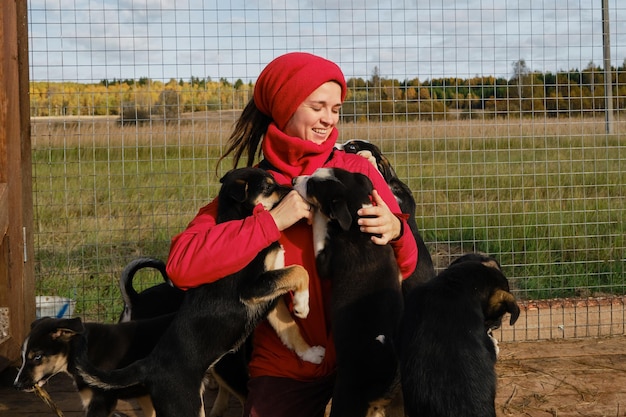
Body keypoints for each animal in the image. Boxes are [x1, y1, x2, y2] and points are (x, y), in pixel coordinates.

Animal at [15, 316, 176, 416]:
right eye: (22, 357)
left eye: (37, 357)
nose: (16, 385)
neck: (83, 349)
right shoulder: (144, 395)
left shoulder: (100, 401)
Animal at [78, 167, 312, 416]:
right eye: (268, 186)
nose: (292, 187)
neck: (243, 219)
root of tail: (147, 365)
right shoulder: (252, 288)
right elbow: (299, 271)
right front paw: (303, 306)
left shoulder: (268, 299)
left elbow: (290, 329)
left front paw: (312, 353)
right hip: (185, 403)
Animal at [292, 167, 400, 416]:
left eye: (311, 187)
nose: (294, 180)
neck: (357, 225)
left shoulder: (324, 261)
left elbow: (321, 224)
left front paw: (319, 215)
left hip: (344, 399)